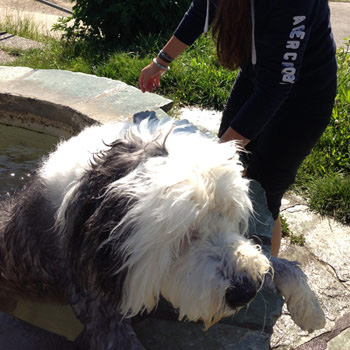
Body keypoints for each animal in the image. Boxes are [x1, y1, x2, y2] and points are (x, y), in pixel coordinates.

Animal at [0, 117, 326, 350]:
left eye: (226, 213)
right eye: (183, 235)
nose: (245, 291)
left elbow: (277, 262)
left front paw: (310, 309)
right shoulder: (97, 298)